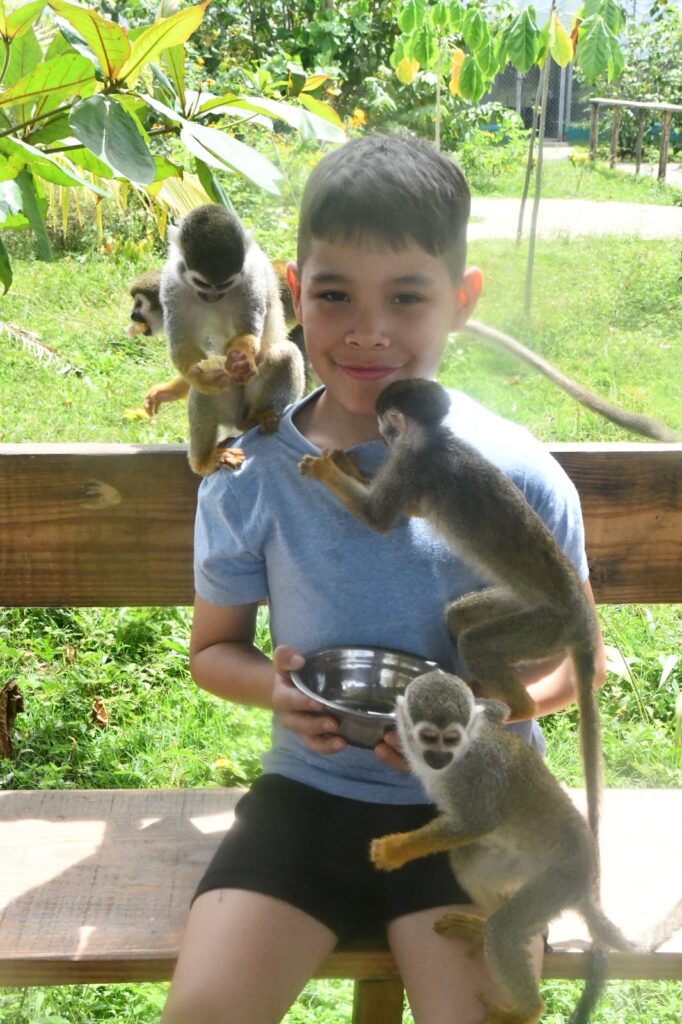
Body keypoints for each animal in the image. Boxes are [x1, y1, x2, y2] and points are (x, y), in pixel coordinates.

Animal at [159, 204, 305, 475]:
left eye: (225, 283)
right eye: (201, 282)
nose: (211, 297)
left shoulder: (252, 277)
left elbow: (249, 332)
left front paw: (242, 357)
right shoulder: (171, 282)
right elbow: (181, 343)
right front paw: (198, 375)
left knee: (285, 354)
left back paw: (258, 417)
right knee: (208, 390)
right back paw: (204, 460)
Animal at [299, 377, 603, 844]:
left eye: (384, 423)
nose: (382, 435)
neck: (431, 439)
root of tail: (581, 613)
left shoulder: (411, 464)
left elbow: (379, 518)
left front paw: (325, 472)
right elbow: (409, 508)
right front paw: (348, 467)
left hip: (547, 627)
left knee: (479, 642)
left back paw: (516, 707)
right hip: (521, 605)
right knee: (462, 619)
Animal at [370, 669, 652, 1024]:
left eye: (451, 740)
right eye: (429, 738)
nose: (439, 757)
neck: (459, 758)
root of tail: (589, 881)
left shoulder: (477, 777)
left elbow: (476, 823)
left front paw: (395, 850)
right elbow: (497, 709)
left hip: (558, 883)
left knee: (504, 932)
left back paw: (526, 1010)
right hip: (524, 868)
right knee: (467, 862)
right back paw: (483, 927)